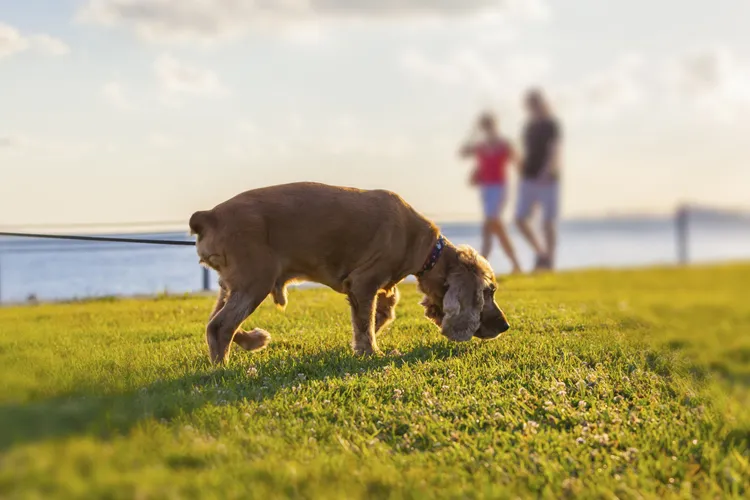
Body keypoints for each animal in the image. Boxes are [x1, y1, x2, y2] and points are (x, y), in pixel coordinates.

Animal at [191, 181, 516, 364]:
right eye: (488, 292)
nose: (505, 326)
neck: (427, 249)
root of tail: (209, 216)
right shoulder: (363, 282)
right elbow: (365, 324)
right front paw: (372, 354)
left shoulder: (376, 287)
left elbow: (380, 314)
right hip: (256, 280)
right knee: (220, 326)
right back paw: (224, 369)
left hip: (232, 284)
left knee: (213, 323)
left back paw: (252, 340)